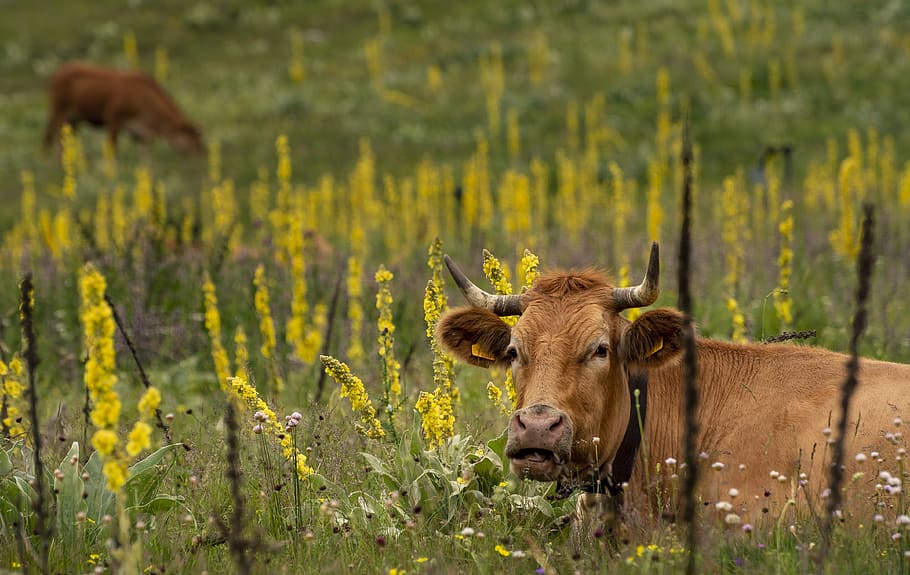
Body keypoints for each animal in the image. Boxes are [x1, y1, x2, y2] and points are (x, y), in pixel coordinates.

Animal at [43, 62, 204, 155]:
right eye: (193, 138)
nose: (202, 152)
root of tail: (57, 73)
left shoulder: (140, 134)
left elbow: (146, 159)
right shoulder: (114, 120)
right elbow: (112, 150)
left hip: (74, 120)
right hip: (59, 113)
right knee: (55, 138)